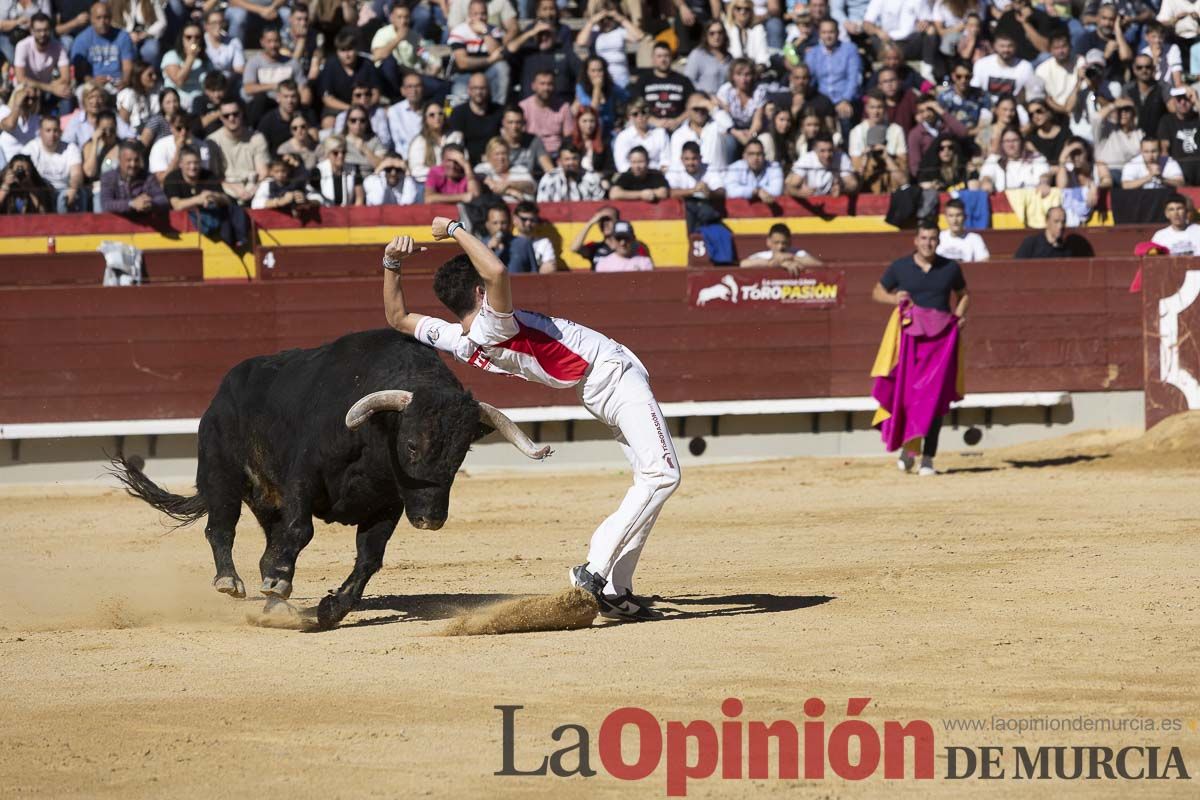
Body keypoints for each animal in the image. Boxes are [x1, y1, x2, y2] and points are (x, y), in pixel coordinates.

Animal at [110, 328, 549, 628]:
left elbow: (369, 557)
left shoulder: (388, 505)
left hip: (267, 500)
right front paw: (279, 583)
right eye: (410, 445)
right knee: (221, 527)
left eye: (461, 454)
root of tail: (221, 393)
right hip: (222, 474)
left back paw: (274, 600)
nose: (430, 519)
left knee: (268, 541)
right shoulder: (303, 480)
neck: (376, 437)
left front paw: (330, 608)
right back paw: (231, 582)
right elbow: (301, 531)